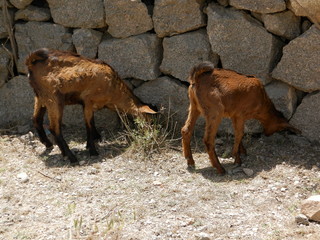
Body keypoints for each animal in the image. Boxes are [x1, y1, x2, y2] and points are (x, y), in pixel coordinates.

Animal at [25, 47, 156, 164]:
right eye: (149, 120)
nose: (152, 135)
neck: (113, 87)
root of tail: (32, 62)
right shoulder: (88, 101)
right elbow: (89, 124)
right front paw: (93, 150)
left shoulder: (87, 104)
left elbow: (91, 123)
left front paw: (93, 141)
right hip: (53, 98)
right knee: (54, 128)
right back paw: (72, 157)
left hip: (40, 97)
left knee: (36, 119)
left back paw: (51, 146)